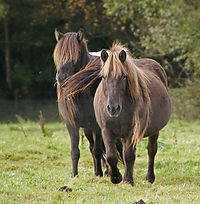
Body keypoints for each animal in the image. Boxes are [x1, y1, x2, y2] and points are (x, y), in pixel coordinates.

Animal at [53, 29, 122, 178]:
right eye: (57, 55)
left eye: (75, 55)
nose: (61, 78)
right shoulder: (72, 123)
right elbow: (76, 151)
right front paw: (75, 175)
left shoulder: (97, 125)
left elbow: (98, 149)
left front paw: (99, 172)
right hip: (87, 128)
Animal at [93, 43, 170, 185]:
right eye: (103, 77)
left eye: (124, 76)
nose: (113, 108)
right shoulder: (106, 130)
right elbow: (111, 156)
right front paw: (115, 177)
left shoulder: (132, 131)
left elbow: (129, 155)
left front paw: (127, 180)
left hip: (154, 131)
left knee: (151, 151)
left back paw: (150, 177)